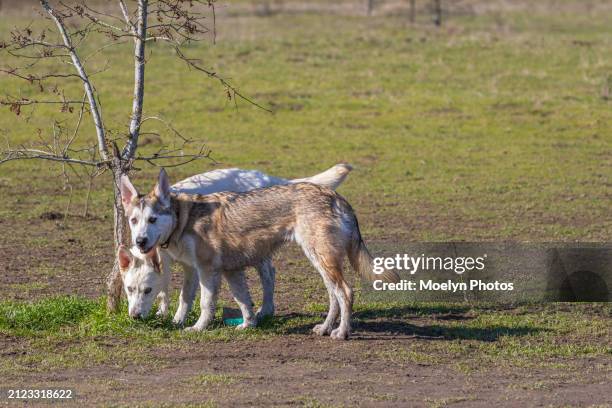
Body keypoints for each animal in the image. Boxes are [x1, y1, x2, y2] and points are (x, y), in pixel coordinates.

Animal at [119, 170, 396, 342]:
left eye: (152, 219)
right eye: (134, 220)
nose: (140, 241)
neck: (183, 220)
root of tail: (337, 198)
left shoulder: (208, 271)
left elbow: (206, 304)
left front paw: (197, 328)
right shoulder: (219, 271)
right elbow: (236, 300)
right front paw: (247, 325)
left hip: (322, 260)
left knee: (346, 293)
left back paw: (341, 333)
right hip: (320, 262)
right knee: (333, 296)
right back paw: (326, 328)